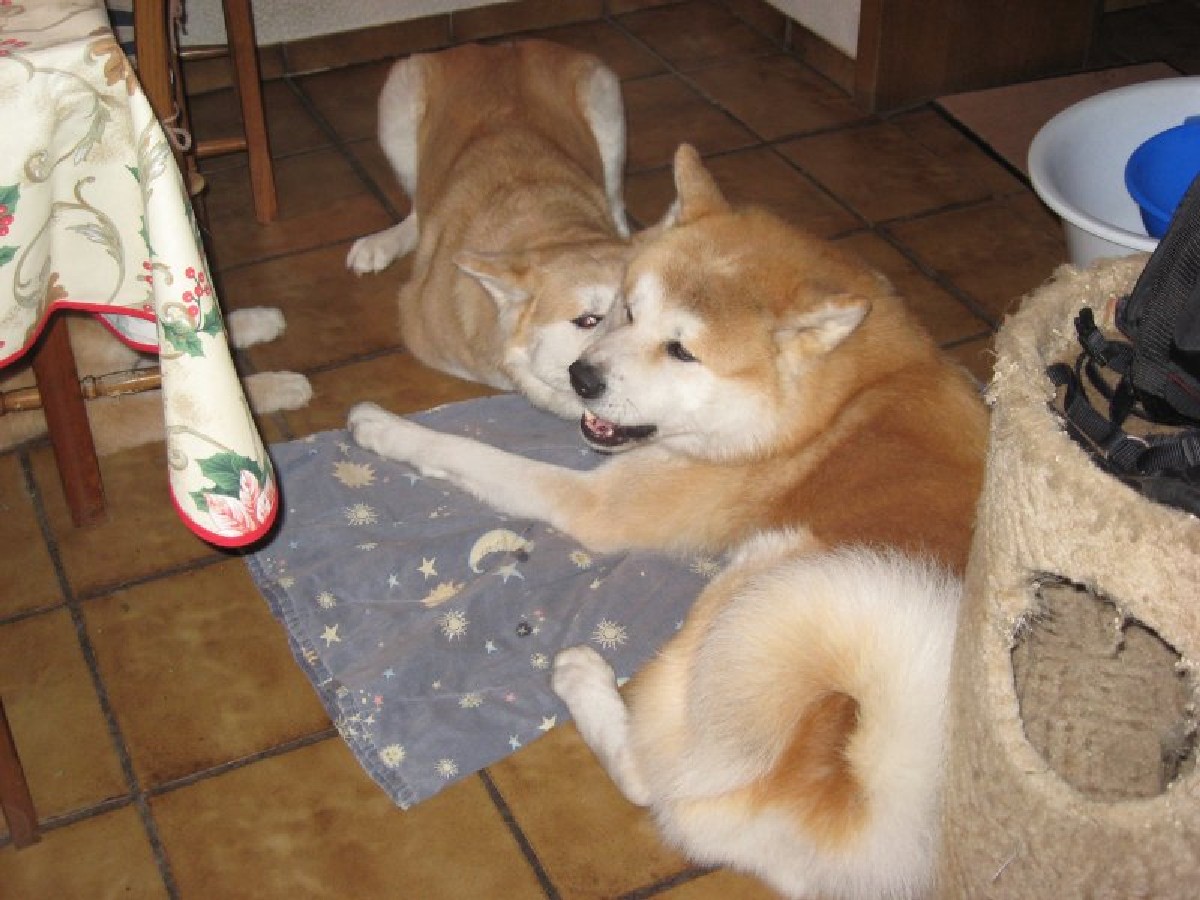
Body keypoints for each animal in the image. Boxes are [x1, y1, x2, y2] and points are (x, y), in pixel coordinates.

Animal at [345, 40, 631, 419]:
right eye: (587, 320)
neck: (551, 226)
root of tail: (499, 47)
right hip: (398, 104)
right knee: (416, 211)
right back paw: (381, 243)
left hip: (606, 106)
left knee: (616, 201)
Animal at [348, 144, 988, 899]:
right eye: (623, 311)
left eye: (683, 350)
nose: (583, 378)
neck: (834, 400)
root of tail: (855, 802)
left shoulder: (595, 505)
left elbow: (468, 451)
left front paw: (385, 429)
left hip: (766, 587)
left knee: (648, 776)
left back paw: (583, 678)